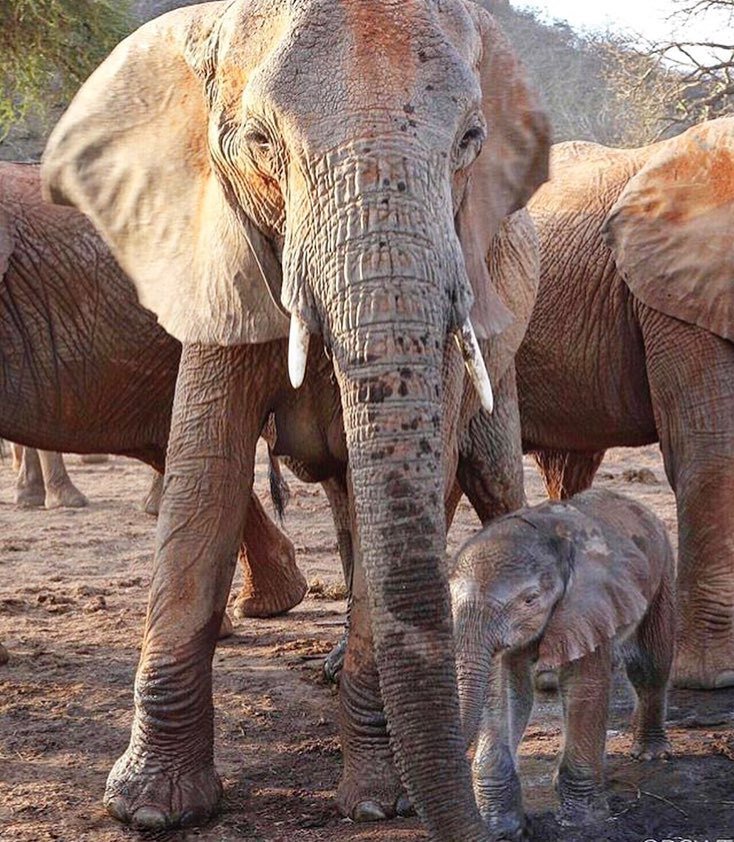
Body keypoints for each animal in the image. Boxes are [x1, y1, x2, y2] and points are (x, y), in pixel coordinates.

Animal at [42, 0, 549, 835]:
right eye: (259, 141)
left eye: (470, 140)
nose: (492, 825)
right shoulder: (216, 255)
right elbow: (202, 474)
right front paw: (151, 808)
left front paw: (379, 802)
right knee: (352, 501)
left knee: (490, 479)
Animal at [451, 489, 675, 837]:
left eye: (530, 599)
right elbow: (505, 690)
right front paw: (502, 828)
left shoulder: (588, 603)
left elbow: (584, 687)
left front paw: (584, 823)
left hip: (662, 567)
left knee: (650, 665)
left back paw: (650, 754)